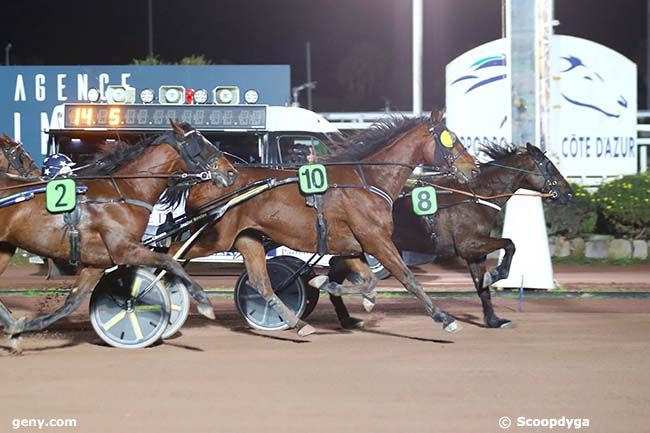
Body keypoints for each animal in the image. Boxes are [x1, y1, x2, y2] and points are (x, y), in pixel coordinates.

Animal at [0, 120, 237, 342]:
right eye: (199, 143)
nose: (231, 172)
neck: (125, 192)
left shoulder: (97, 262)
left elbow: (71, 302)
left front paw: (21, 327)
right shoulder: (124, 249)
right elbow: (170, 262)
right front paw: (204, 302)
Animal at [168, 113, 476, 336]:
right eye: (451, 140)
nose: (472, 168)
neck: (367, 182)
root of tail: (203, 179)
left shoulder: (352, 246)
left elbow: (368, 280)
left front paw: (350, 296)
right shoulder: (376, 240)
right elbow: (407, 278)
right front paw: (444, 317)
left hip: (247, 238)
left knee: (260, 282)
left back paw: (299, 324)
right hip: (215, 236)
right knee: (171, 252)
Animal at [332, 142, 568, 328]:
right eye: (548, 164)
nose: (568, 192)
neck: (474, 197)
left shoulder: (474, 253)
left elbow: (482, 287)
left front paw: (493, 319)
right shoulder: (469, 244)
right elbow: (510, 244)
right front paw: (496, 274)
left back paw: (346, 317)